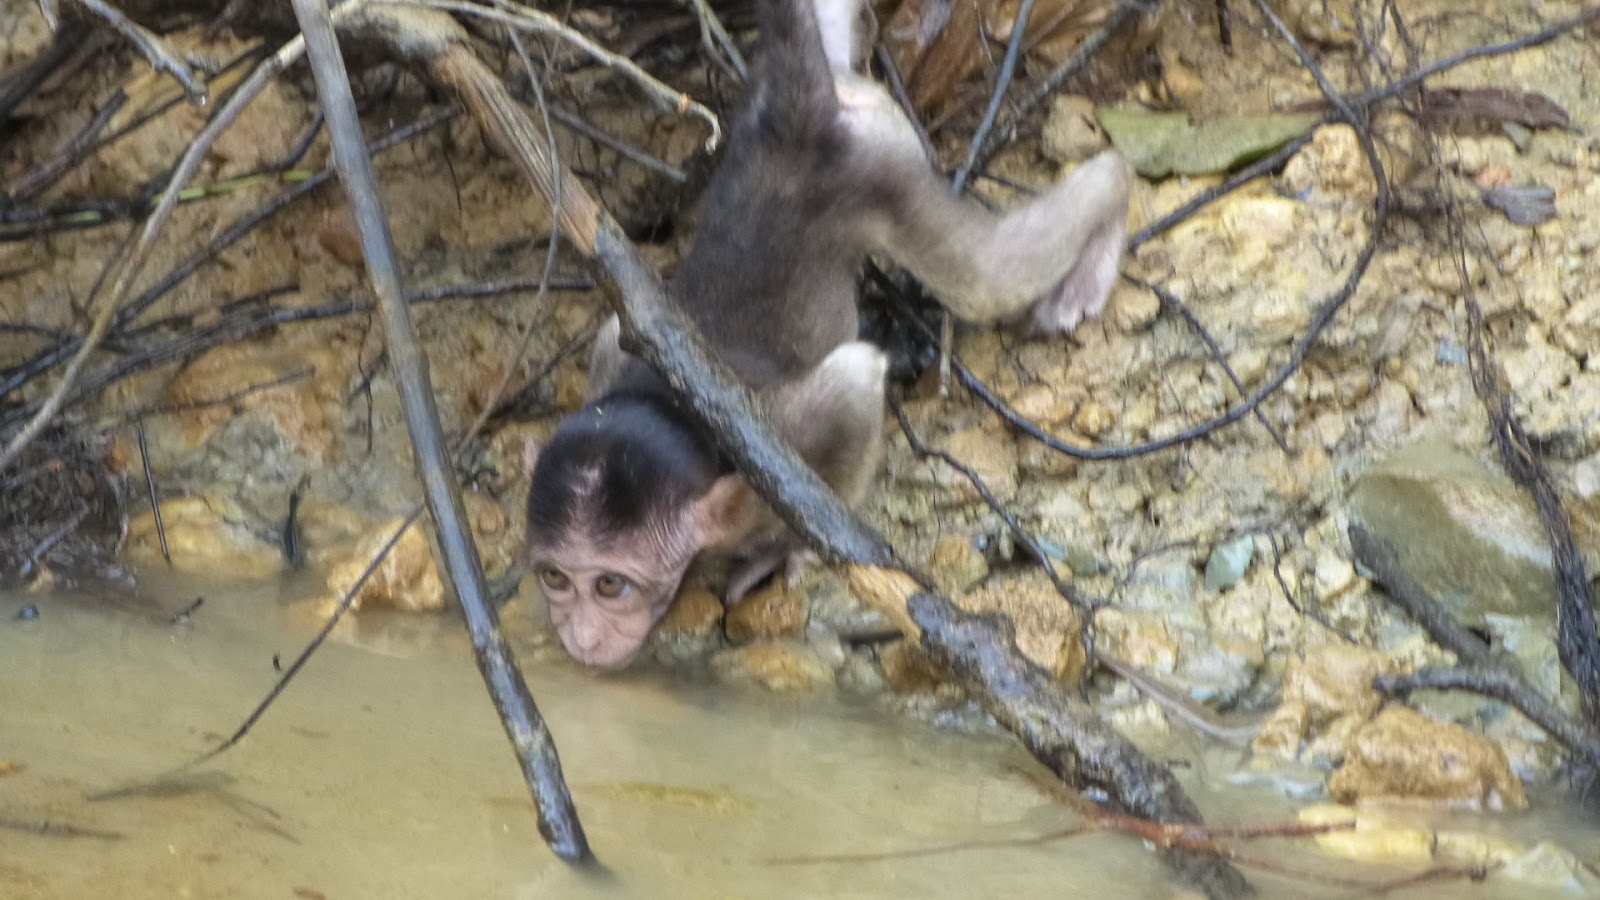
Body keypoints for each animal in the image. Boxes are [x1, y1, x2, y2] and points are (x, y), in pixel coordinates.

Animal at [525, 0, 1130, 669]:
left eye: (611, 584)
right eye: (554, 577)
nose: (581, 638)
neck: (666, 409)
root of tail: (801, 119)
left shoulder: (776, 447)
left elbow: (852, 387)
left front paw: (786, 549)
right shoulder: (618, 355)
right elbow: (615, 330)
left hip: (884, 166)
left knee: (985, 278)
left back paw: (1105, 214)